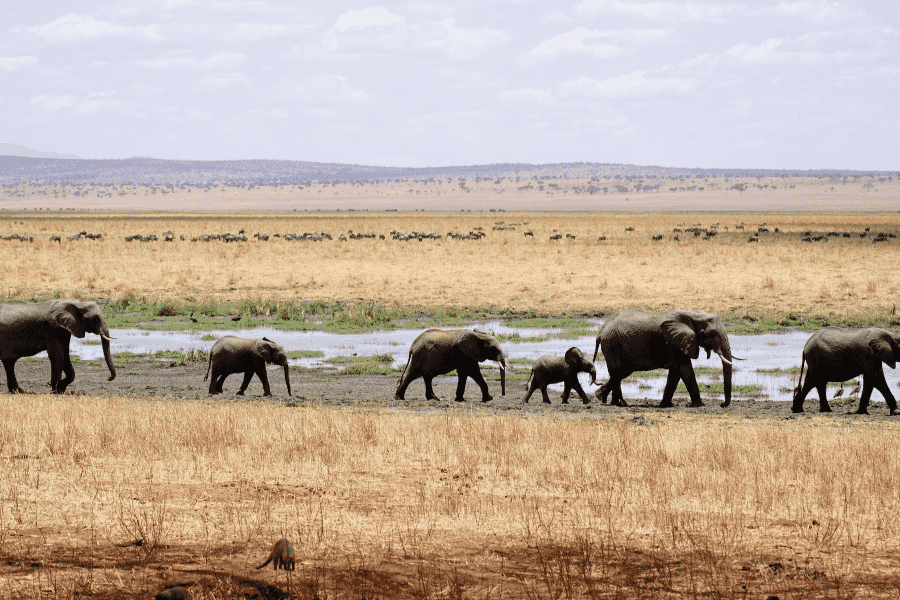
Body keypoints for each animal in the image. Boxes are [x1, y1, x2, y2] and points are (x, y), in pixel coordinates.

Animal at [592, 310, 744, 408]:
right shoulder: (674, 342)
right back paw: (611, 401)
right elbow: (685, 368)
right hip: (612, 345)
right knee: (617, 372)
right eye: (712, 334)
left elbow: (676, 372)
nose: (722, 404)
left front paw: (665, 405)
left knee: (617, 373)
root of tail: (600, 331)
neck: (694, 315)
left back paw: (612, 402)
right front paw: (699, 405)